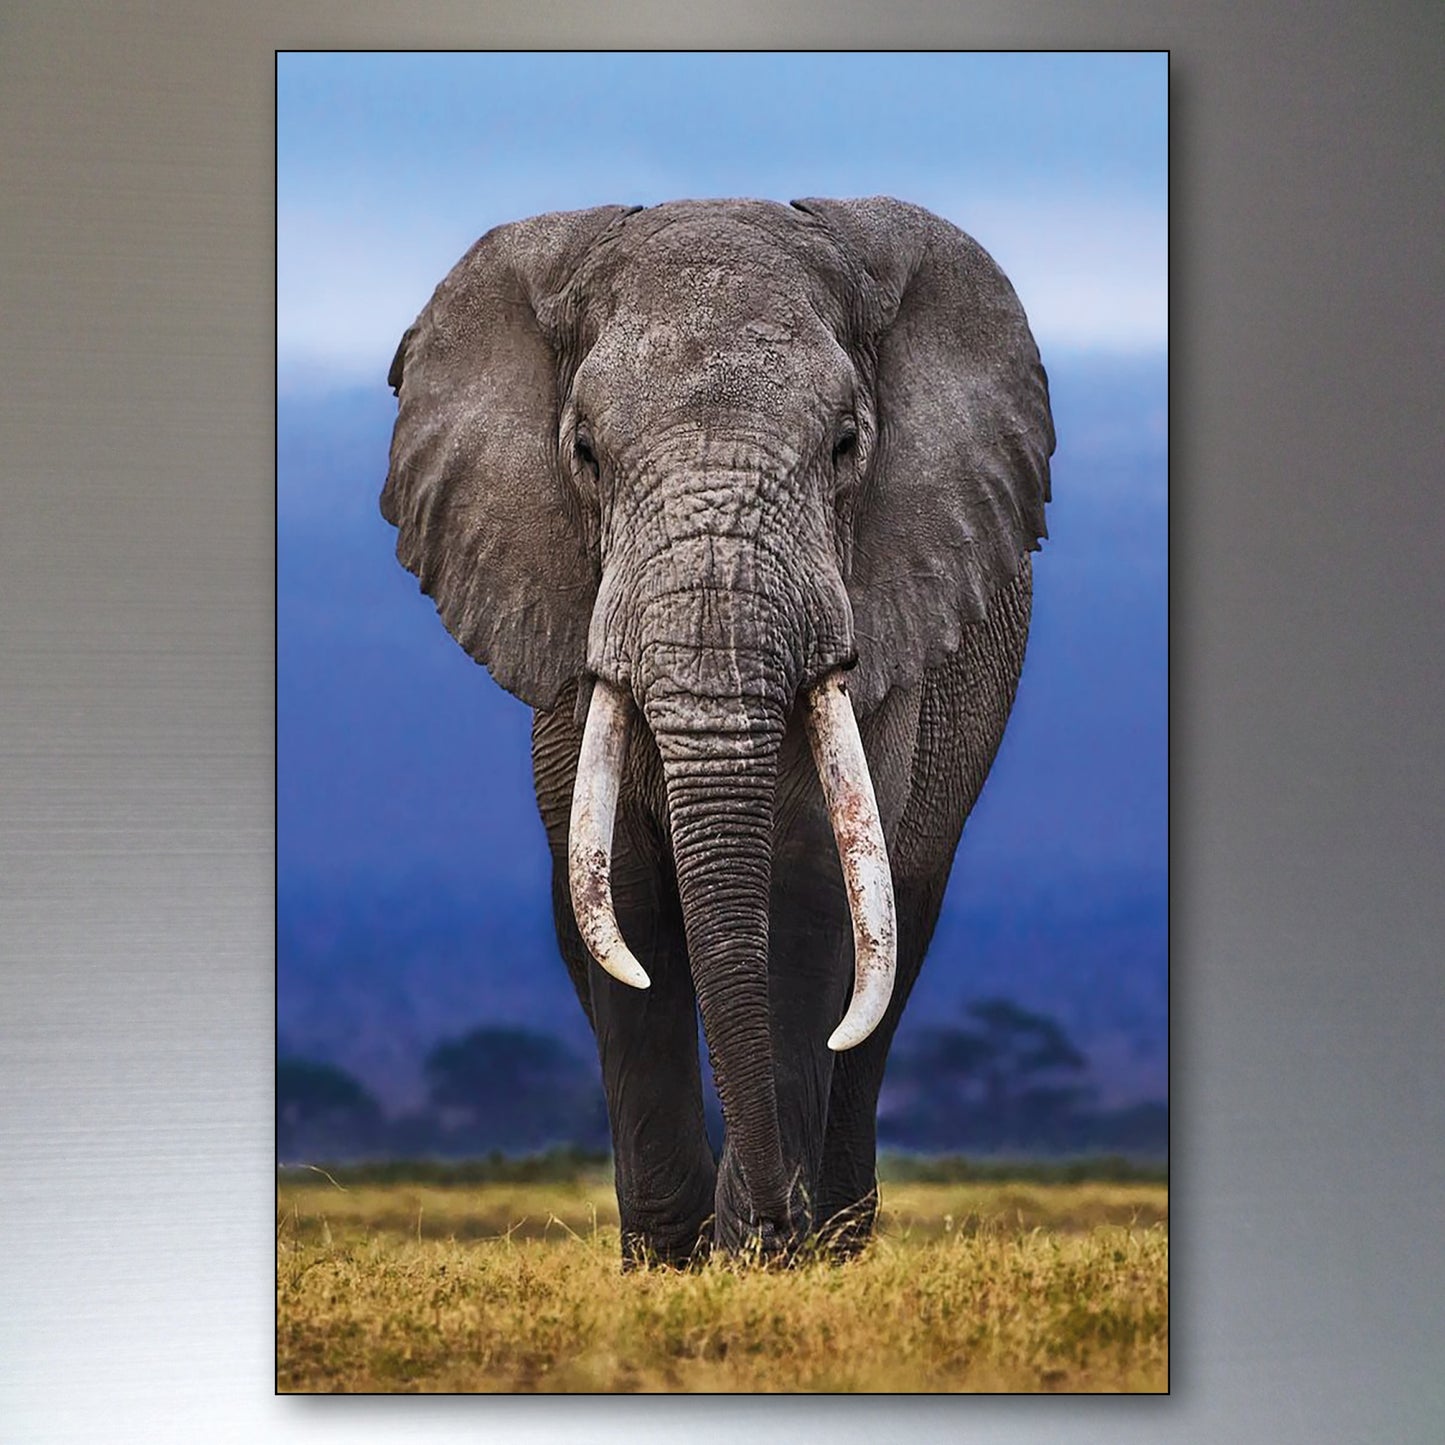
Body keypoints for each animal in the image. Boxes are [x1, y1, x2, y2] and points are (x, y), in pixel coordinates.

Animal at [381, 196, 1053, 1264]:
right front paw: (670, 1261)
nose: (773, 1217)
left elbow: (812, 891)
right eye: (584, 453)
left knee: (891, 955)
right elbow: (621, 898)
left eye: (845, 445)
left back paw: (837, 1237)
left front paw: (762, 1256)